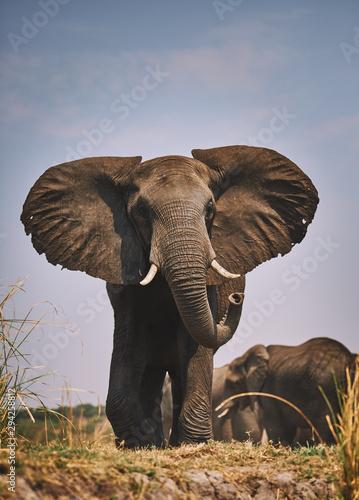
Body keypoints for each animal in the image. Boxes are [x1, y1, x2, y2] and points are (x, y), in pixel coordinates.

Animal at [20, 146, 318, 450]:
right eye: (142, 211)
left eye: (210, 210)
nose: (236, 297)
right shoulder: (125, 270)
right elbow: (129, 342)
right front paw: (140, 441)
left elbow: (193, 343)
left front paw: (193, 443)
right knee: (149, 368)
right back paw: (157, 442)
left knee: (177, 368)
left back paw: (174, 442)